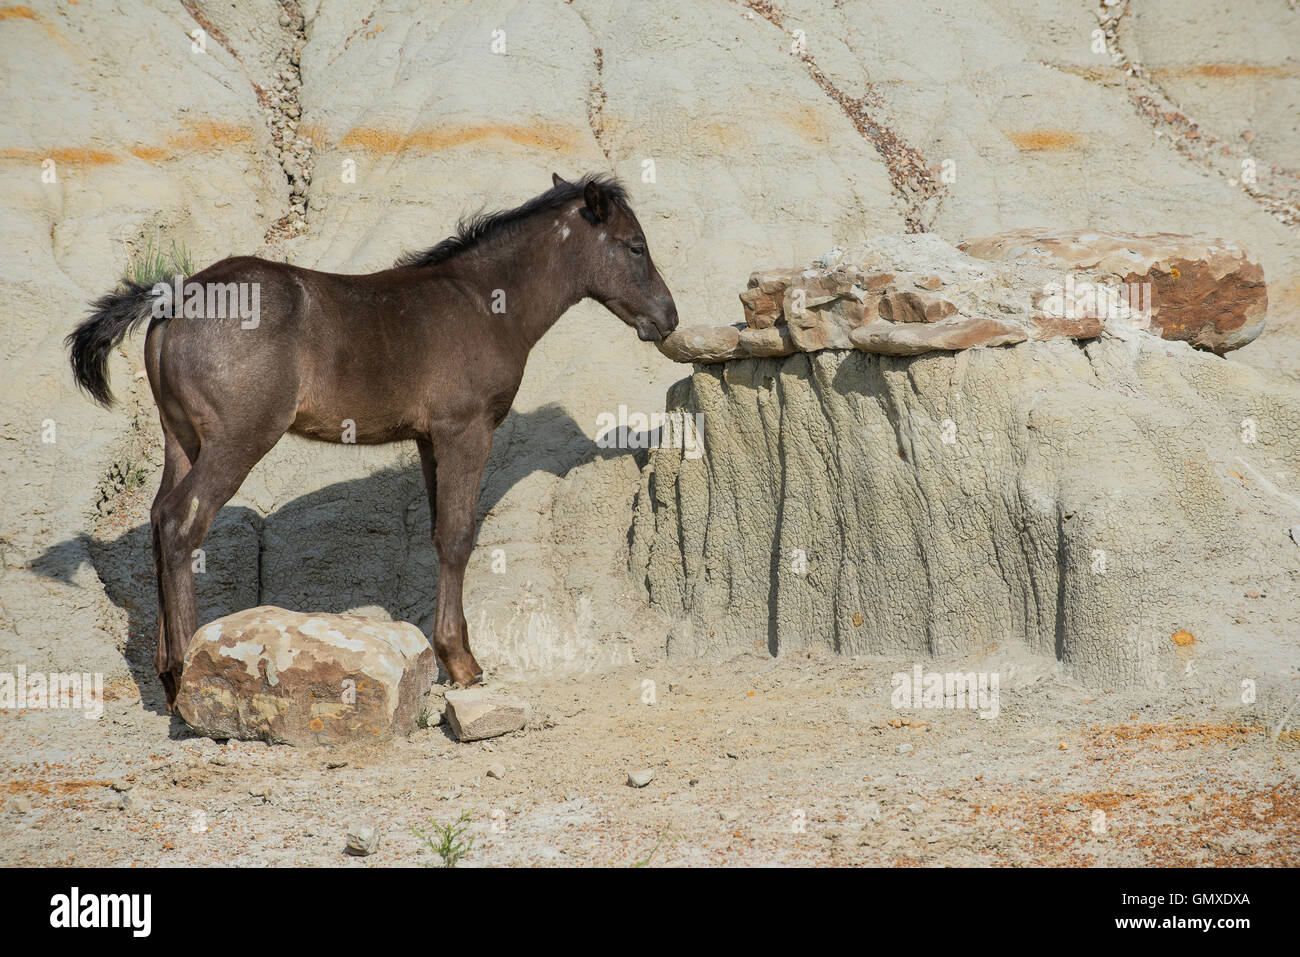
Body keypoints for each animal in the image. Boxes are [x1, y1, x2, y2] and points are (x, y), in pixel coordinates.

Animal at [68, 171, 681, 712]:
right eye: (635, 246)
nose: (669, 318)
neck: (484, 303)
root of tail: (175, 297)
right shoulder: (466, 431)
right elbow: (458, 536)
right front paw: (462, 662)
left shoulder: (431, 440)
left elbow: (439, 532)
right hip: (236, 442)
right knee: (179, 524)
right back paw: (183, 672)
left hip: (181, 440)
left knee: (157, 521)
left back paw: (166, 677)